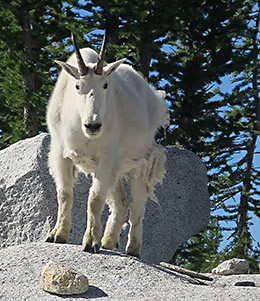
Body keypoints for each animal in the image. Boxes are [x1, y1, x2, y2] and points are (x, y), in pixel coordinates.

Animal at [46, 32, 169, 258]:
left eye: (105, 85)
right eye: (77, 86)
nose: (93, 125)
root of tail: (155, 98)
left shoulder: (106, 157)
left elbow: (95, 199)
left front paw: (90, 242)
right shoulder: (60, 151)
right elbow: (64, 193)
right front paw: (58, 234)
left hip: (140, 160)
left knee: (138, 204)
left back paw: (133, 248)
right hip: (116, 167)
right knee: (121, 202)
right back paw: (109, 242)